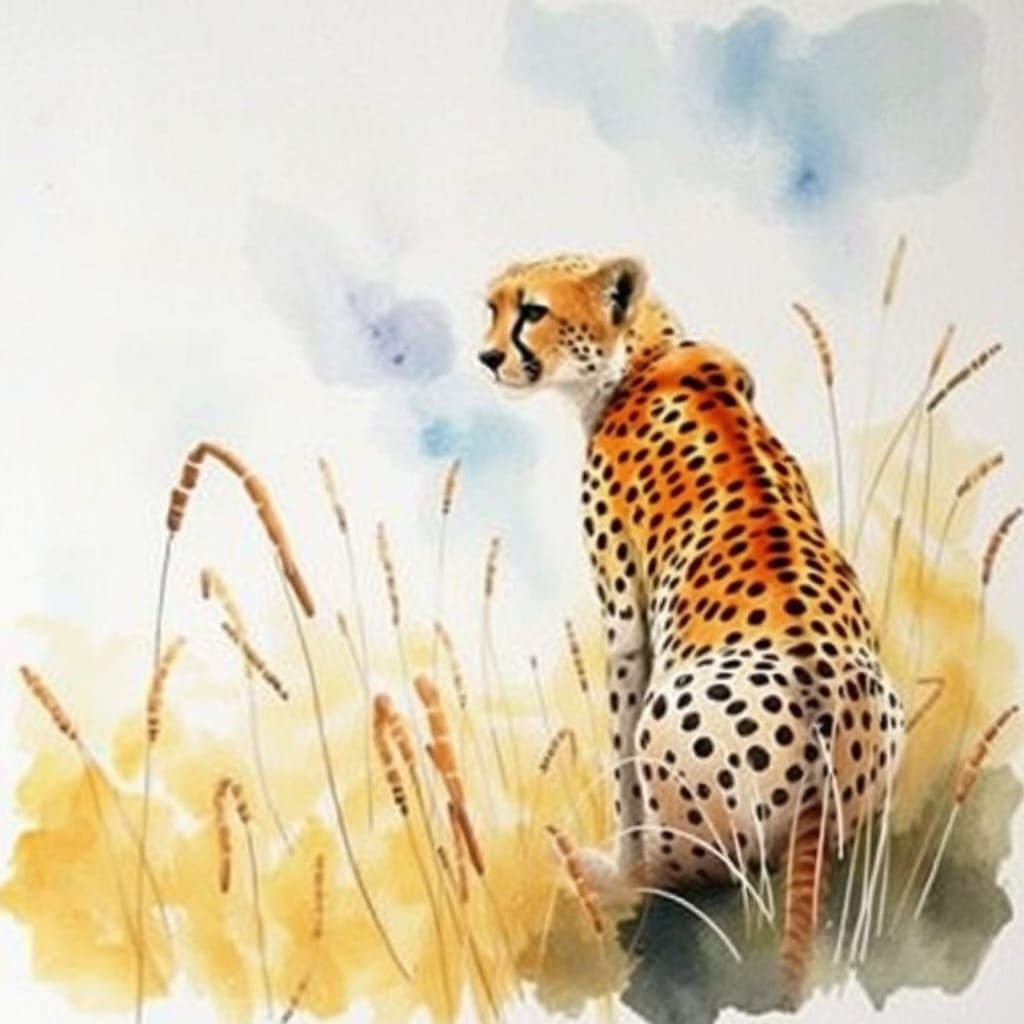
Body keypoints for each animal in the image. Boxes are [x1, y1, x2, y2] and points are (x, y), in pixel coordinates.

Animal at [478, 252, 905, 1004]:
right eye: (491, 307)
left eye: (531, 311)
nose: (488, 356)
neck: (643, 354)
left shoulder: (624, 616)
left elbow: (621, 759)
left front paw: (622, 855)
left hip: (671, 719)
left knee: (693, 872)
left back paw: (603, 874)